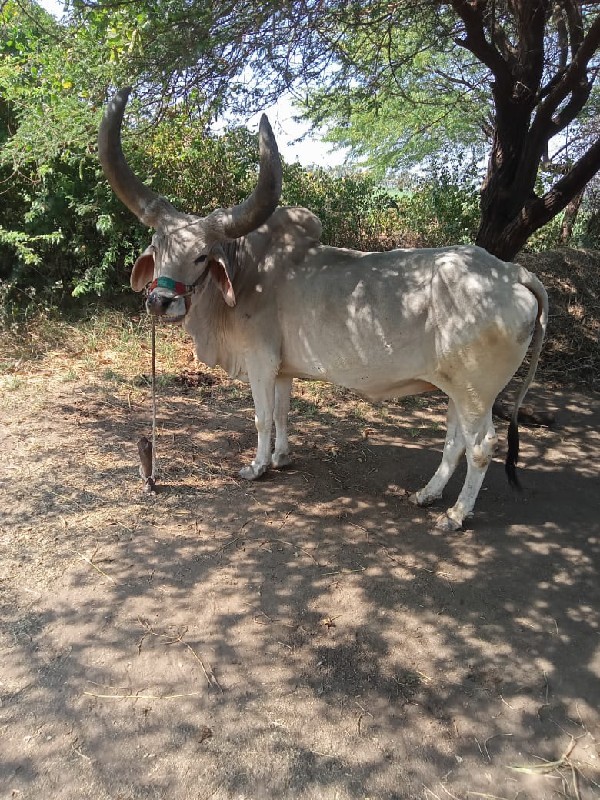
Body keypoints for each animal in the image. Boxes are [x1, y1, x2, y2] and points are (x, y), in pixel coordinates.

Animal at [99, 89, 548, 532]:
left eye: (200, 256)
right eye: (157, 250)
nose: (160, 301)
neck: (247, 274)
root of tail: (511, 272)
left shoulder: (260, 363)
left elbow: (262, 418)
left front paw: (257, 467)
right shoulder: (281, 370)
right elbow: (282, 415)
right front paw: (281, 458)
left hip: (476, 393)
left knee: (481, 446)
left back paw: (455, 515)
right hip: (457, 389)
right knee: (455, 441)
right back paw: (428, 494)